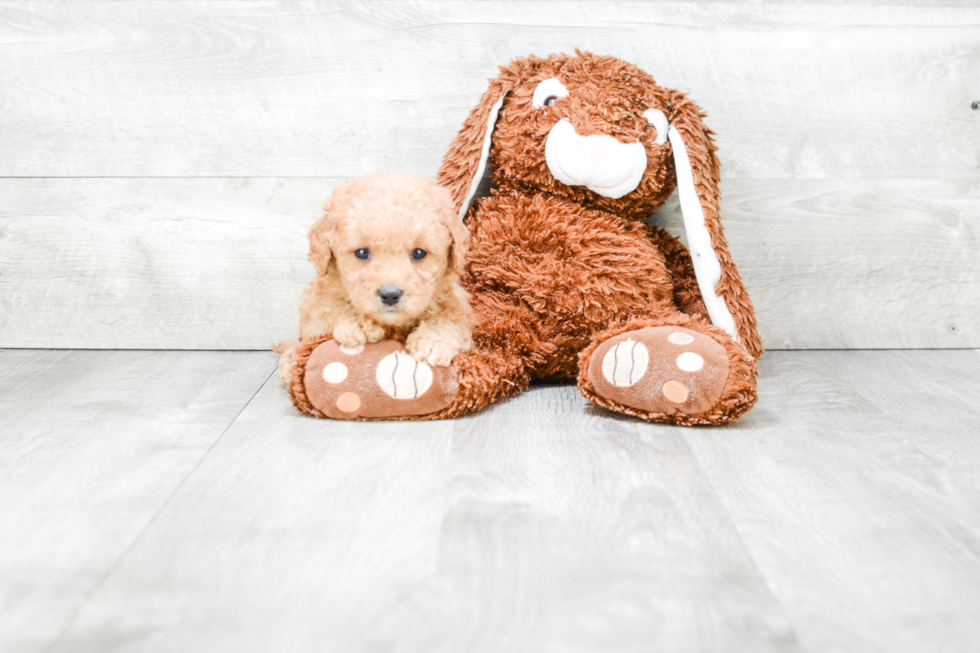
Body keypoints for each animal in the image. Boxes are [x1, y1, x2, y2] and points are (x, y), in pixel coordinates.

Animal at [278, 173, 472, 382]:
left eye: (419, 253)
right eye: (362, 252)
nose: (390, 295)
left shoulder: (457, 306)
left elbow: (451, 320)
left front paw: (434, 340)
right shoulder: (315, 317)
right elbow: (331, 309)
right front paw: (358, 323)